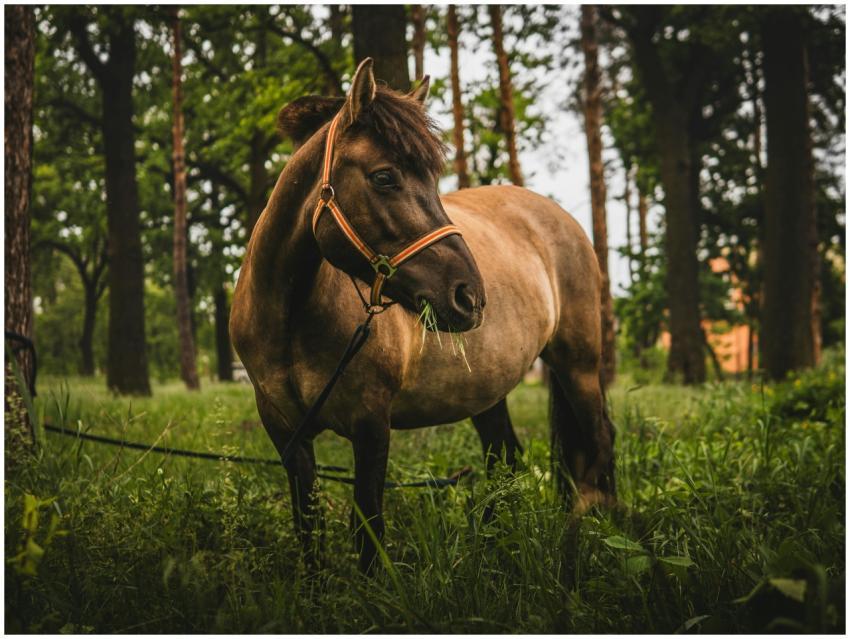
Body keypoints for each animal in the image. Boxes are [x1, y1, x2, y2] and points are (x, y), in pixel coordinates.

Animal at [230, 59, 615, 572]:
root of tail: (562, 219)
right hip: (487, 390)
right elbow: (308, 527)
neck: (289, 321)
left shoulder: (371, 424)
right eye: (384, 177)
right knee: (505, 459)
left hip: (578, 366)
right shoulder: (285, 432)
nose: (469, 296)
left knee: (599, 442)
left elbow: (367, 525)